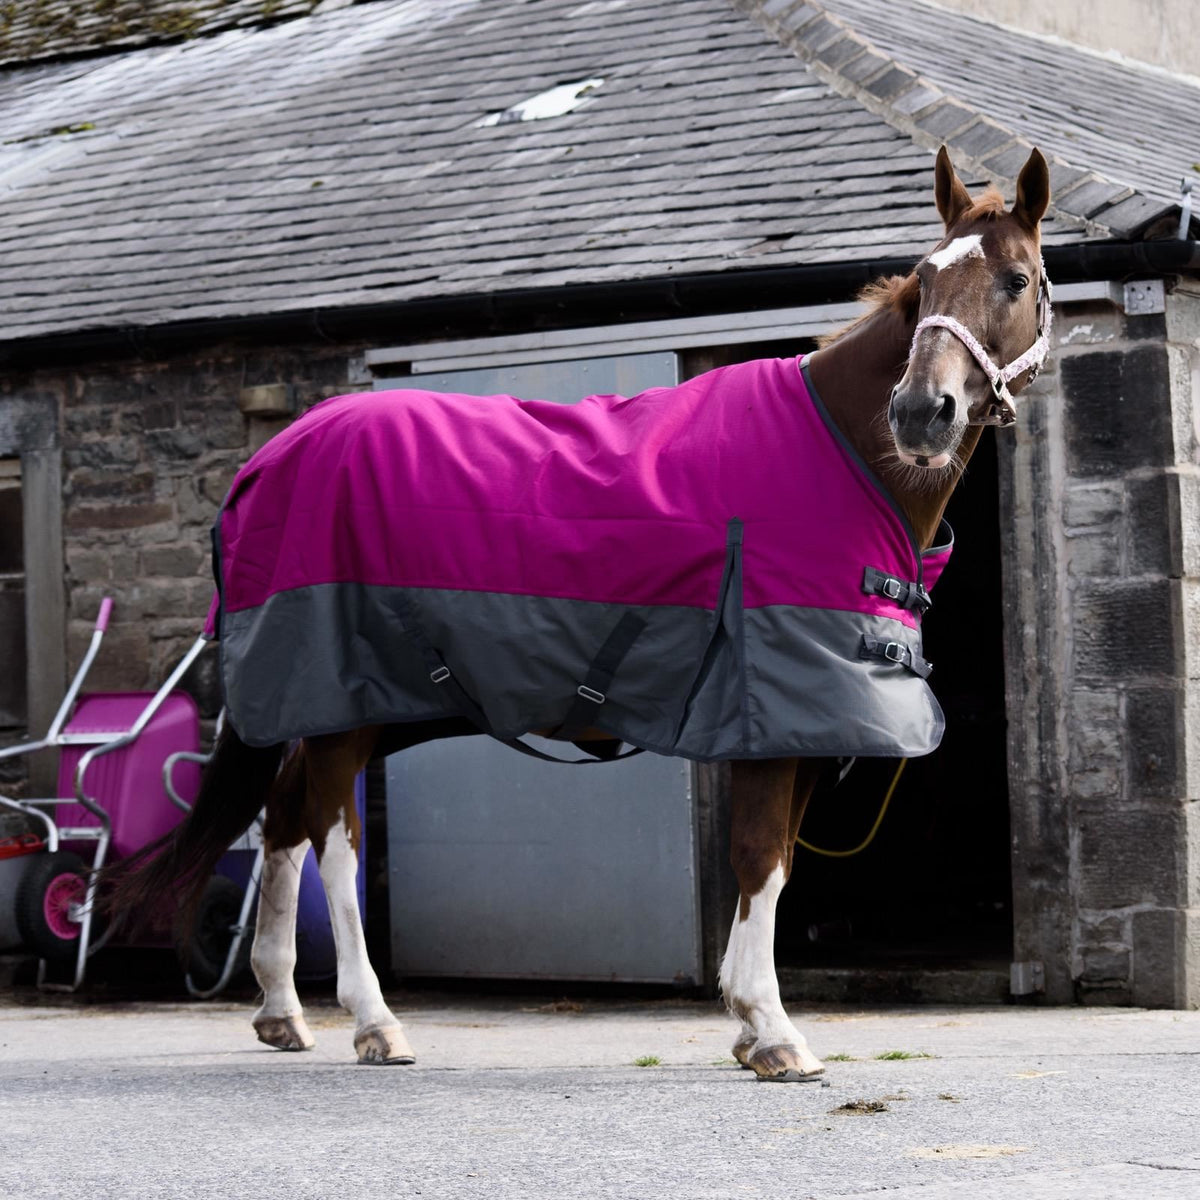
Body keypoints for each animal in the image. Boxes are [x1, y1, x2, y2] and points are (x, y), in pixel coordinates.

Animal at [107, 145, 1051, 1081]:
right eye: (925, 280)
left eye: (1015, 279)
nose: (921, 413)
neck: (836, 454)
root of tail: (265, 461)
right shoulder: (777, 722)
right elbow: (760, 860)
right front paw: (772, 1030)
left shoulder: (800, 730)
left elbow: (775, 862)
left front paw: (748, 1025)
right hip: (346, 708)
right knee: (334, 841)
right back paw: (375, 1021)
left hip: (366, 704)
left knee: (285, 818)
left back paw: (279, 1007)